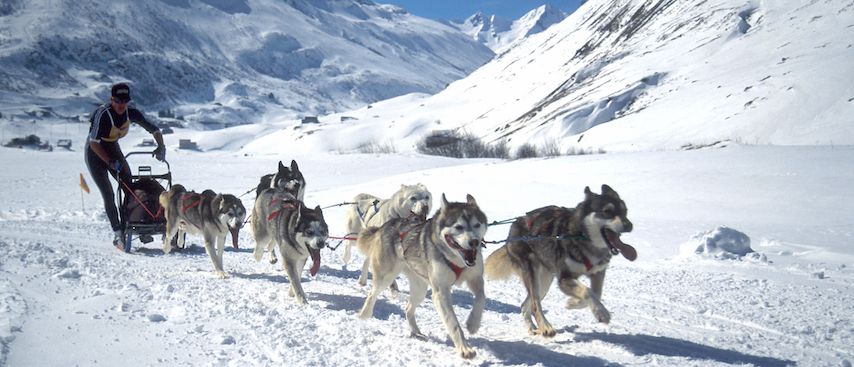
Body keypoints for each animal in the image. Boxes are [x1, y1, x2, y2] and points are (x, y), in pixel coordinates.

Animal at [356, 194, 488, 360]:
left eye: (477, 225)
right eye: (458, 227)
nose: (474, 241)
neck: (455, 257)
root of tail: (386, 225)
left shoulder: (476, 279)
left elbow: (481, 298)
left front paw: (473, 323)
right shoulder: (440, 293)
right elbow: (453, 323)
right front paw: (465, 348)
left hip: (420, 290)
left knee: (408, 308)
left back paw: (416, 332)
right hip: (385, 277)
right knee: (372, 294)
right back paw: (364, 314)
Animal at [484, 185, 640, 338]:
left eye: (625, 211)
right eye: (607, 211)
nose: (629, 225)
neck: (582, 235)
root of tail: (516, 224)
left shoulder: (598, 273)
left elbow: (597, 293)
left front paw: (574, 303)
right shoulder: (564, 278)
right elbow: (587, 290)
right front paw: (600, 312)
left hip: (544, 282)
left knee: (524, 305)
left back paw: (533, 328)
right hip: (532, 275)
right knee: (535, 304)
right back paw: (546, 327)